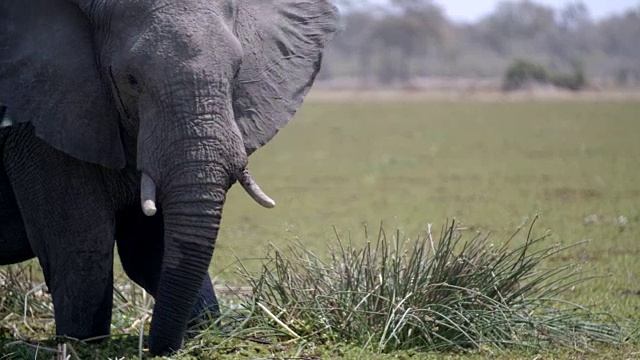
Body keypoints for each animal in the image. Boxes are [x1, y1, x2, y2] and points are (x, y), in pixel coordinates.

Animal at [0, 0, 340, 354]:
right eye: (131, 79)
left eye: (236, 71)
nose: (154, 347)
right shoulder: (40, 124)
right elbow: (84, 245)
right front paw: (81, 346)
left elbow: (151, 250)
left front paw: (202, 331)